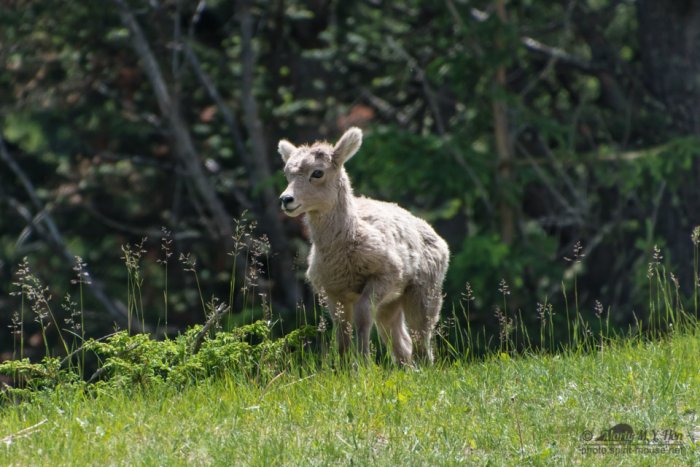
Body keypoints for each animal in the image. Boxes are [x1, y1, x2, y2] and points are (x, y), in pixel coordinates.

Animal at [278, 127, 449, 364]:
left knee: (421, 338)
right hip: (390, 305)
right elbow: (342, 329)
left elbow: (362, 317)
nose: (286, 199)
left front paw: (364, 363)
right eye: (287, 173)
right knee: (401, 343)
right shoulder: (333, 291)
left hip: (423, 293)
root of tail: (440, 241)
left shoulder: (384, 277)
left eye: (318, 173)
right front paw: (343, 366)